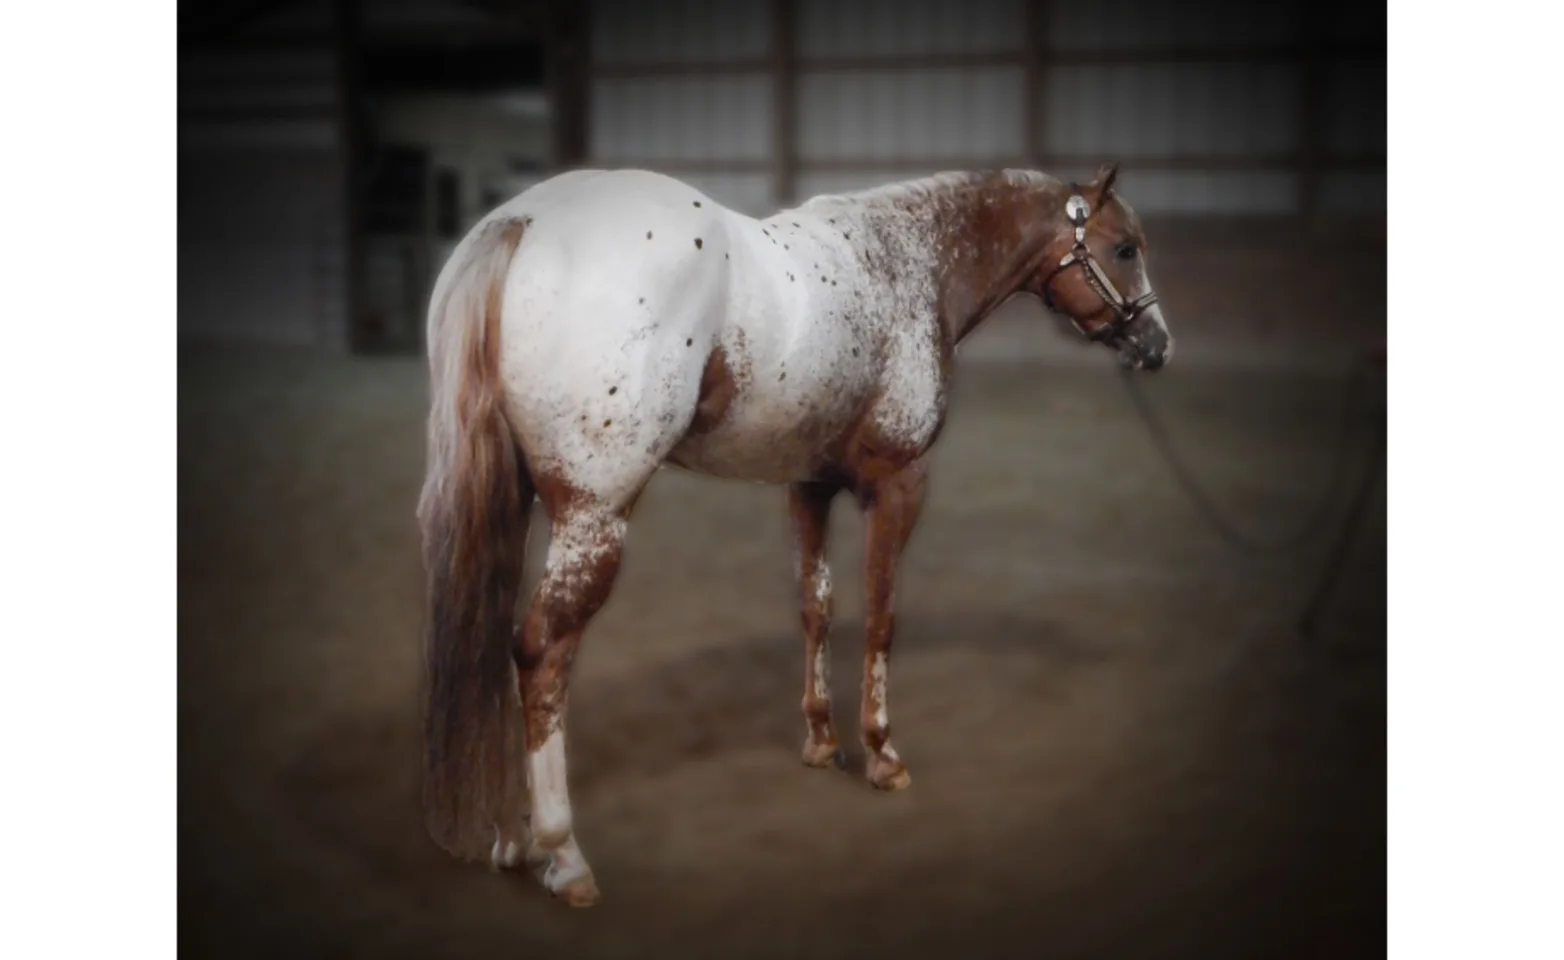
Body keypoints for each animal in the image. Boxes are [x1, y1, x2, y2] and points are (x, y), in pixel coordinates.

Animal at [416, 162, 1172, 906]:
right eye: (1124, 248)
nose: (1157, 345)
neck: (908, 262)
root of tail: (522, 224)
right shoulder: (900, 484)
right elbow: (881, 619)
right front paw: (883, 755)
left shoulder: (808, 486)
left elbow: (817, 607)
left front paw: (820, 741)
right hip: (593, 516)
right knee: (541, 652)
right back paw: (563, 855)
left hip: (515, 505)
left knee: (496, 641)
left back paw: (510, 840)